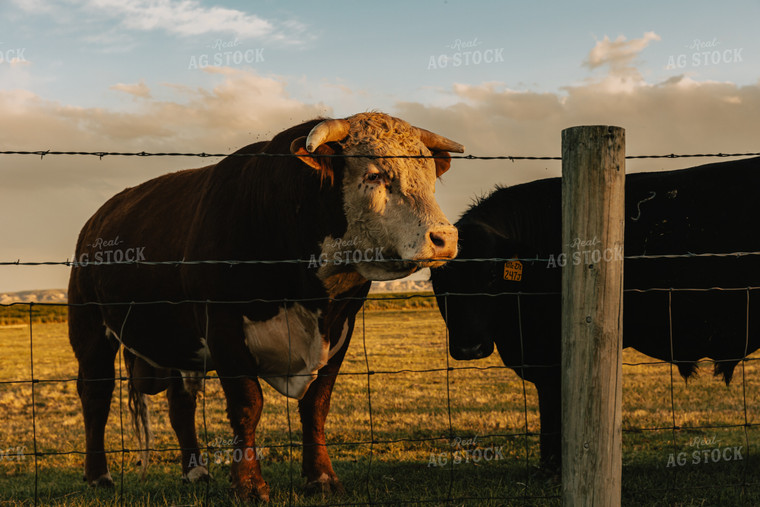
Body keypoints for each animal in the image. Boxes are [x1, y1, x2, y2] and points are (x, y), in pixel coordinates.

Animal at [70, 113, 464, 502]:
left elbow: (316, 405)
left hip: (179, 346)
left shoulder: (340, 328)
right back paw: (98, 475)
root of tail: (95, 221)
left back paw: (195, 471)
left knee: (180, 402)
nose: (444, 238)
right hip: (89, 329)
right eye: (373, 175)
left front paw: (321, 477)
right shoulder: (223, 325)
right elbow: (247, 404)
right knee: (96, 396)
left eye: (430, 176)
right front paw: (248, 484)